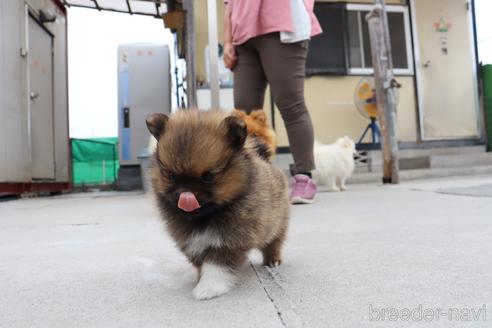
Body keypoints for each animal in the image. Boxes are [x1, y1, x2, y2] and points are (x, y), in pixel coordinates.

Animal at [146, 109, 292, 300]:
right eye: (171, 175)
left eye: (208, 177)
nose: (184, 195)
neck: (206, 217)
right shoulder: (192, 242)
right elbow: (201, 264)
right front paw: (200, 279)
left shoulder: (228, 241)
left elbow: (216, 266)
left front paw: (209, 287)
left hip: (276, 223)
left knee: (274, 242)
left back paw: (273, 259)